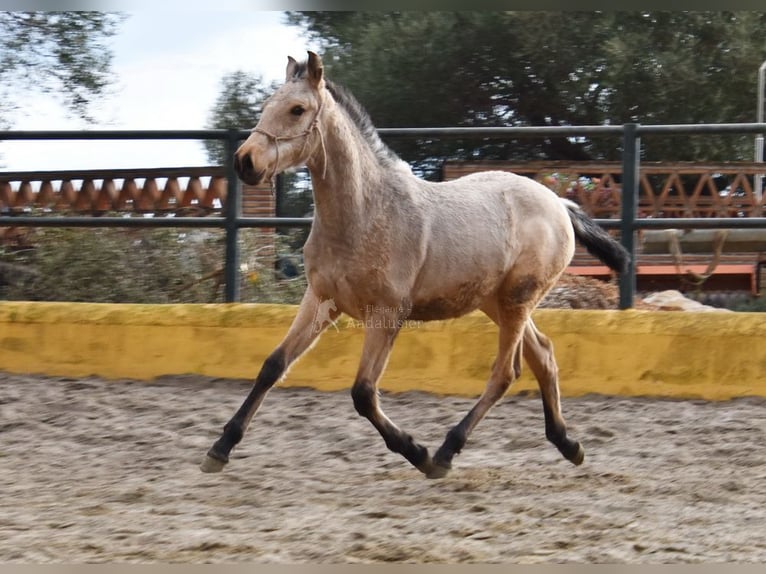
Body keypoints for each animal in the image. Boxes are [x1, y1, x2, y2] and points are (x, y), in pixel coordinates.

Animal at [201, 51, 632, 482]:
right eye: (266, 106)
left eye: (297, 109)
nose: (245, 161)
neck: (364, 213)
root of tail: (560, 202)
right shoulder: (322, 300)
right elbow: (273, 365)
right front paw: (219, 449)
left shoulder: (387, 314)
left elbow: (363, 392)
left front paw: (418, 453)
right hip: (497, 302)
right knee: (542, 354)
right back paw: (567, 443)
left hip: (517, 300)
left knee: (505, 372)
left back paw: (445, 452)